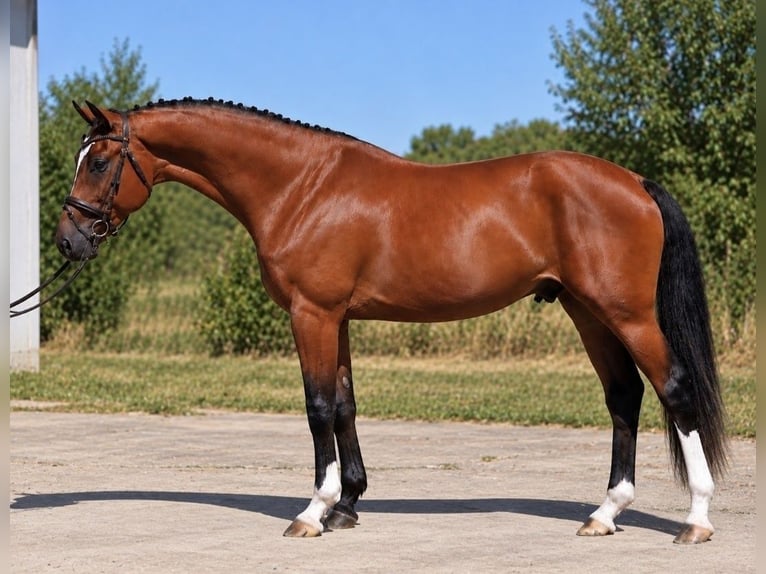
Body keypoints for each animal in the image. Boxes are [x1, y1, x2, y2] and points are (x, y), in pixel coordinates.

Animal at [55, 98, 728, 544]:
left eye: (99, 163)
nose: (67, 241)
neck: (301, 186)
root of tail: (635, 181)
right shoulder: (337, 319)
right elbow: (345, 405)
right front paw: (347, 505)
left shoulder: (312, 314)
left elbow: (318, 408)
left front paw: (313, 512)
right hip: (587, 311)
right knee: (624, 397)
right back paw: (605, 514)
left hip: (626, 313)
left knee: (674, 390)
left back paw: (695, 520)